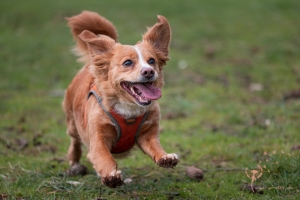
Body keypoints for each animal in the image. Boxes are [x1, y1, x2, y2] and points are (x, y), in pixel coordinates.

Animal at [63, 10, 179, 188]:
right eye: (128, 63)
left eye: (152, 61)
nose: (149, 71)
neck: (128, 109)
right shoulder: (98, 139)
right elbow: (104, 156)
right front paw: (111, 175)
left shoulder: (148, 133)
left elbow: (155, 146)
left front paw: (165, 157)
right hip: (72, 124)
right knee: (75, 142)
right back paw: (75, 163)